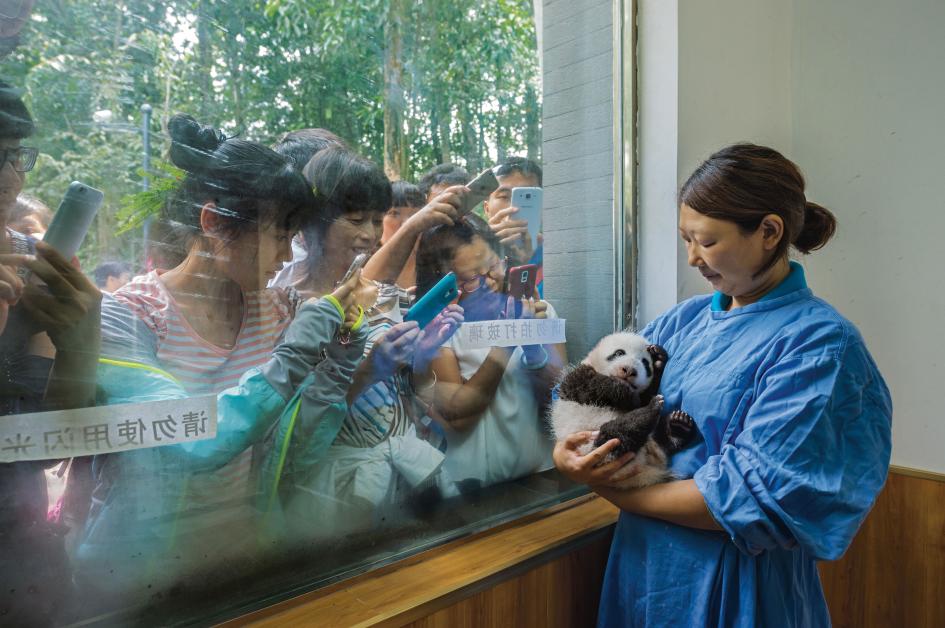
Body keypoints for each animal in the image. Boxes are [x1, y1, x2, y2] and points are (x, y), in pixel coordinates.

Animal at [548, 332, 696, 488]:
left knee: (658, 441)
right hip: (598, 447)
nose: (630, 370)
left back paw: (678, 427)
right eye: (619, 353)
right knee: (620, 433)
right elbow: (591, 385)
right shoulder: (575, 380)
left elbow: (647, 393)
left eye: (645, 363)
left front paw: (658, 359)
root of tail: (644, 469)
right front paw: (630, 396)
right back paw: (652, 410)